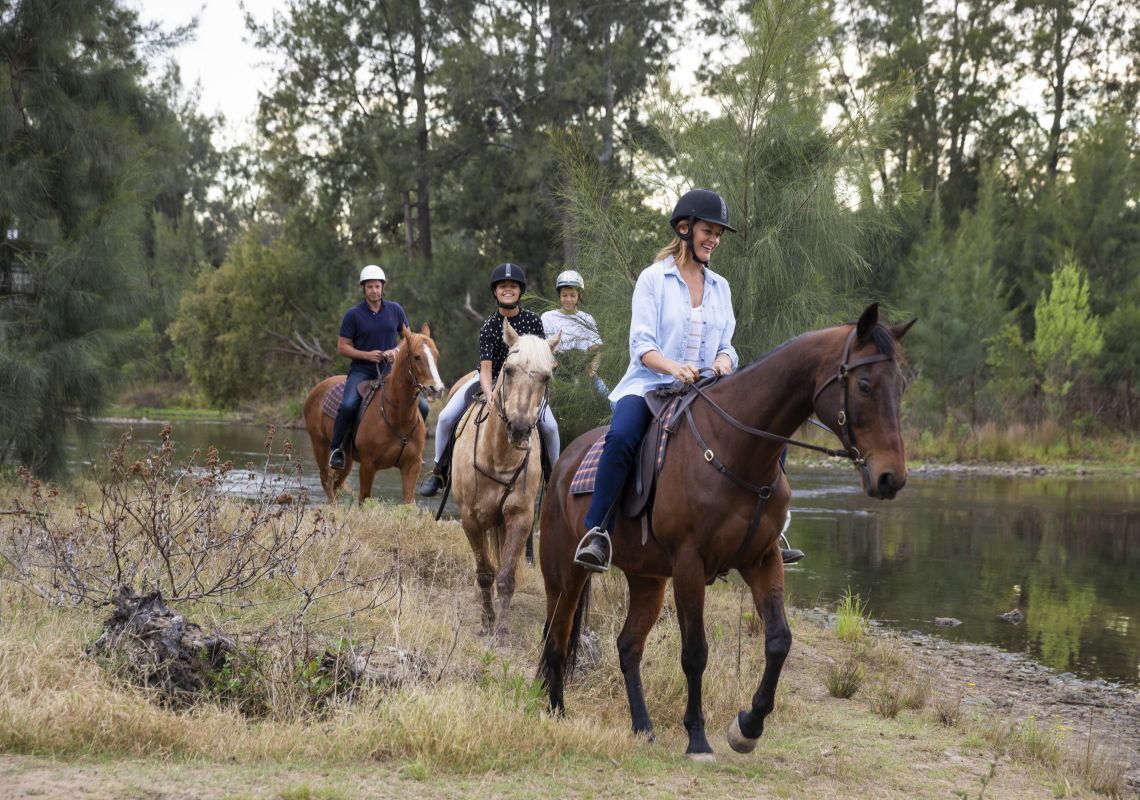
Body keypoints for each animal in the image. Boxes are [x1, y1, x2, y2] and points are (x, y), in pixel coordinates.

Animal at [303, 323, 444, 501]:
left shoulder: (412, 466)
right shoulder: (368, 465)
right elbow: (364, 498)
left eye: (436, 355)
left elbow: (409, 502)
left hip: (347, 459)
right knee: (327, 481)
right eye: (417, 357)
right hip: (319, 445)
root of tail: (317, 388)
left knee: (336, 484)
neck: (397, 416)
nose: (437, 389)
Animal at [451, 321, 563, 647]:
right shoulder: (470, 519)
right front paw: (486, 623)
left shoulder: (519, 518)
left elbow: (505, 576)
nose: (520, 429)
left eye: (546, 376)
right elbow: (485, 573)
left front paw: (501, 630)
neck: (498, 456)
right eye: (510, 370)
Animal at [535, 305, 916, 756]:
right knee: (557, 637)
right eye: (865, 384)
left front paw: (747, 727)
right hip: (565, 573)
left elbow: (779, 640)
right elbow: (695, 653)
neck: (736, 448)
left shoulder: (762, 559)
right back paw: (557, 713)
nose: (891, 478)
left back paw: (643, 727)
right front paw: (698, 739)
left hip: (647, 578)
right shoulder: (689, 565)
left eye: (901, 386)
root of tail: (565, 460)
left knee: (628, 647)